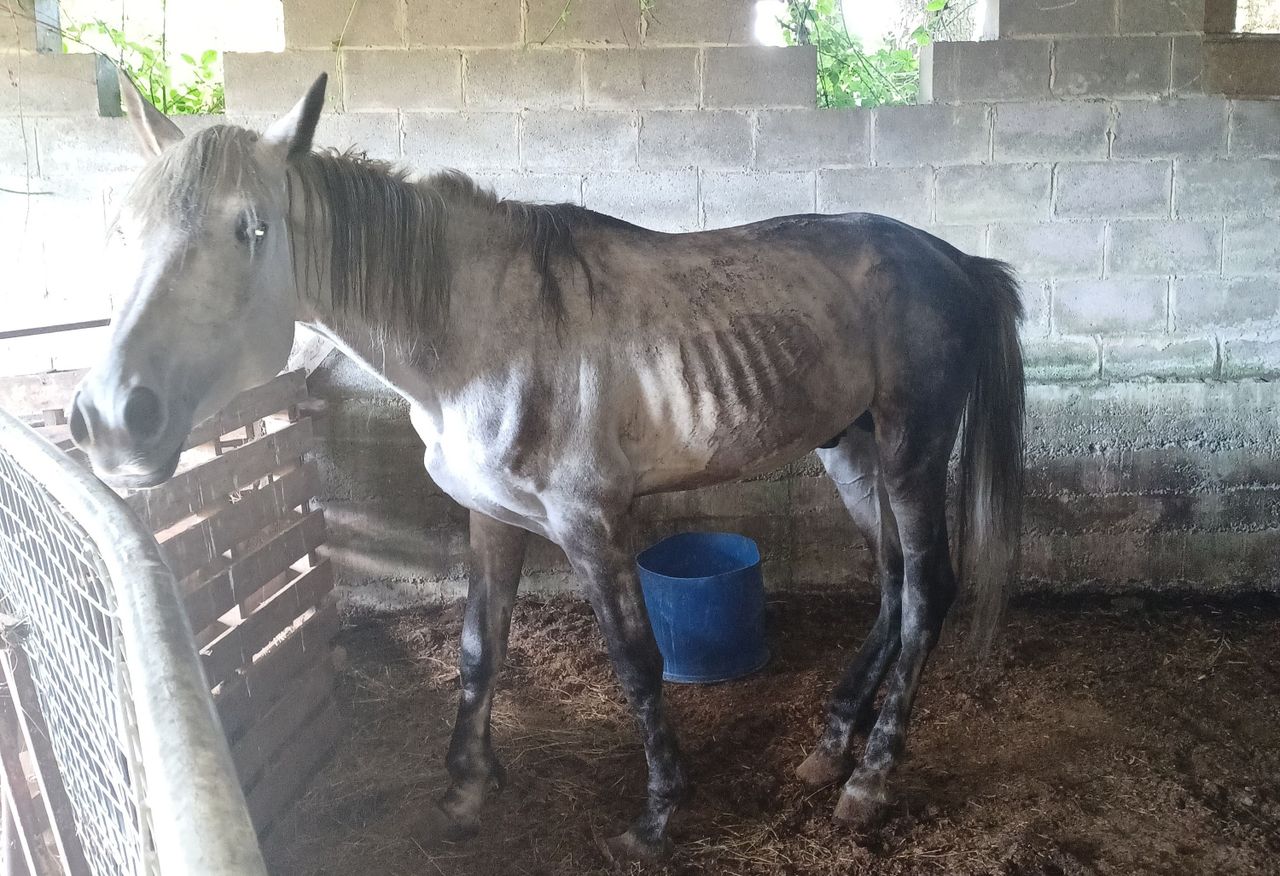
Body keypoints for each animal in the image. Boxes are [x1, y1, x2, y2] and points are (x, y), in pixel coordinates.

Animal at [69, 72, 1025, 861]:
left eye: (252, 229)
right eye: (122, 228)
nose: (113, 419)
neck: (475, 335)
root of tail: (953, 260)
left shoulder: (589, 523)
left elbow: (635, 661)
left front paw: (656, 819)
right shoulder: (490, 517)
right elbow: (478, 647)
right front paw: (464, 794)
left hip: (909, 450)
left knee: (927, 592)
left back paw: (869, 781)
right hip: (851, 450)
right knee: (893, 585)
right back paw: (829, 750)